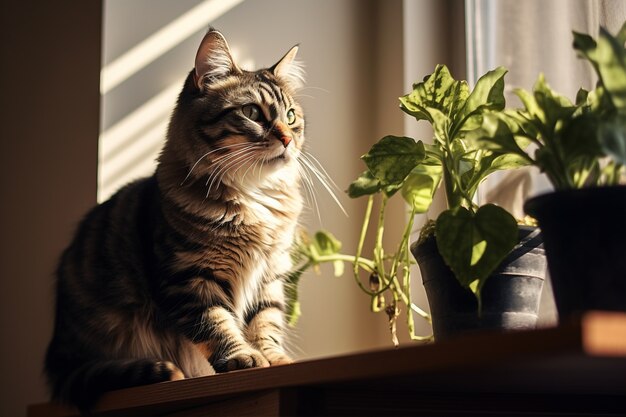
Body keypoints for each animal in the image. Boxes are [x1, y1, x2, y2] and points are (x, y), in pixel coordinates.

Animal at [44, 30, 308, 410]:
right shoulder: (190, 278)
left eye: (290, 115)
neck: (252, 196)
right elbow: (217, 325)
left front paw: (275, 359)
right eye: (251, 112)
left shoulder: (269, 277)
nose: (287, 139)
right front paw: (242, 357)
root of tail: (57, 354)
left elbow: (266, 322)